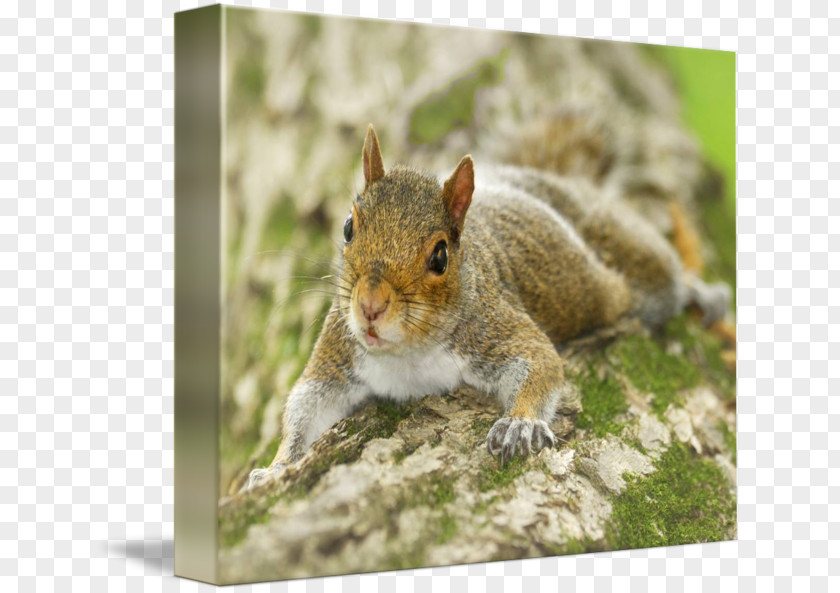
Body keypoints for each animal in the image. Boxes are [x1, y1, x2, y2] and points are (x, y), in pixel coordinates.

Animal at [244, 122, 728, 488]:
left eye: (440, 256)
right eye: (348, 227)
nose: (370, 307)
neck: (407, 355)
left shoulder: (493, 325)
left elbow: (541, 361)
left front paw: (520, 423)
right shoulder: (338, 350)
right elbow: (305, 405)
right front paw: (276, 468)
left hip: (636, 266)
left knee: (667, 277)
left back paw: (703, 293)